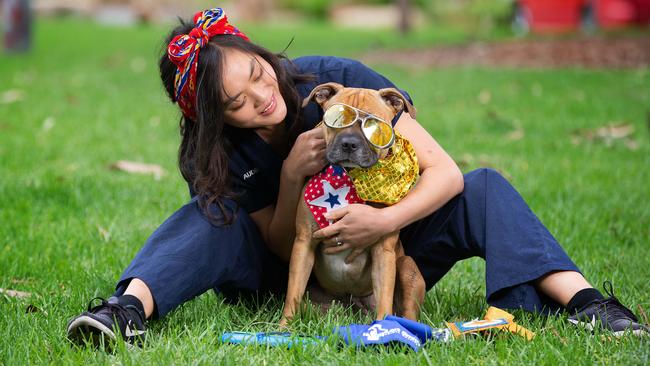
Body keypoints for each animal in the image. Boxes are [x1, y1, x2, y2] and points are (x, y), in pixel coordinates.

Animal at [278, 83, 426, 326]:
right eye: (336, 119)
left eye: (373, 125)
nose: (349, 143)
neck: (350, 179)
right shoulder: (304, 242)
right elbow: (292, 294)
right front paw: (283, 329)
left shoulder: (383, 250)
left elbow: (385, 299)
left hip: (407, 267)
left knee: (408, 313)